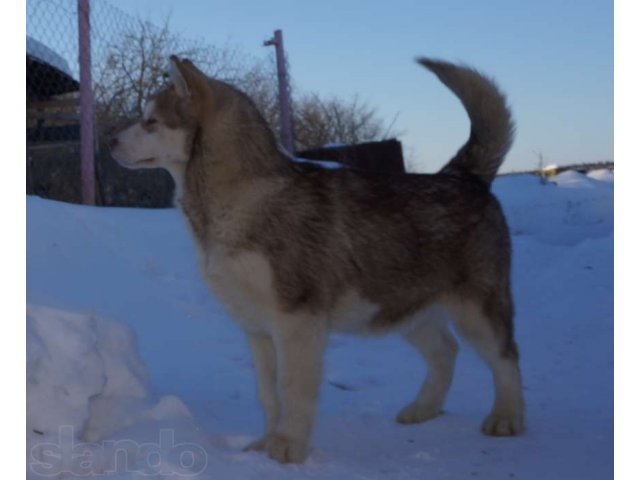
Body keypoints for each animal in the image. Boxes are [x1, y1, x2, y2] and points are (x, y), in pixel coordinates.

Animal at [110, 54, 524, 464]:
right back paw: (423, 409)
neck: (238, 200)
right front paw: (266, 443)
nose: (110, 142)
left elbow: (291, 387)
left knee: (506, 357)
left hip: (476, 312)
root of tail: (463, 176)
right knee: (446, 351)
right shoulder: (256, 329)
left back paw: (507, 418)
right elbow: (267, 392)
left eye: (150, 121)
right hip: (404, 310)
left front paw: (288, 447)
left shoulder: (296, 319)